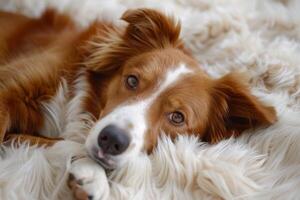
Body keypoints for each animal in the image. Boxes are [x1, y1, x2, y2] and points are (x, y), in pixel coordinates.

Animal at [0, 7, 276, 198]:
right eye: (132, 80)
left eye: (177, 117)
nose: (112, 140)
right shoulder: (8, 90)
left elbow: (63, 142)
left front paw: (90, 174)